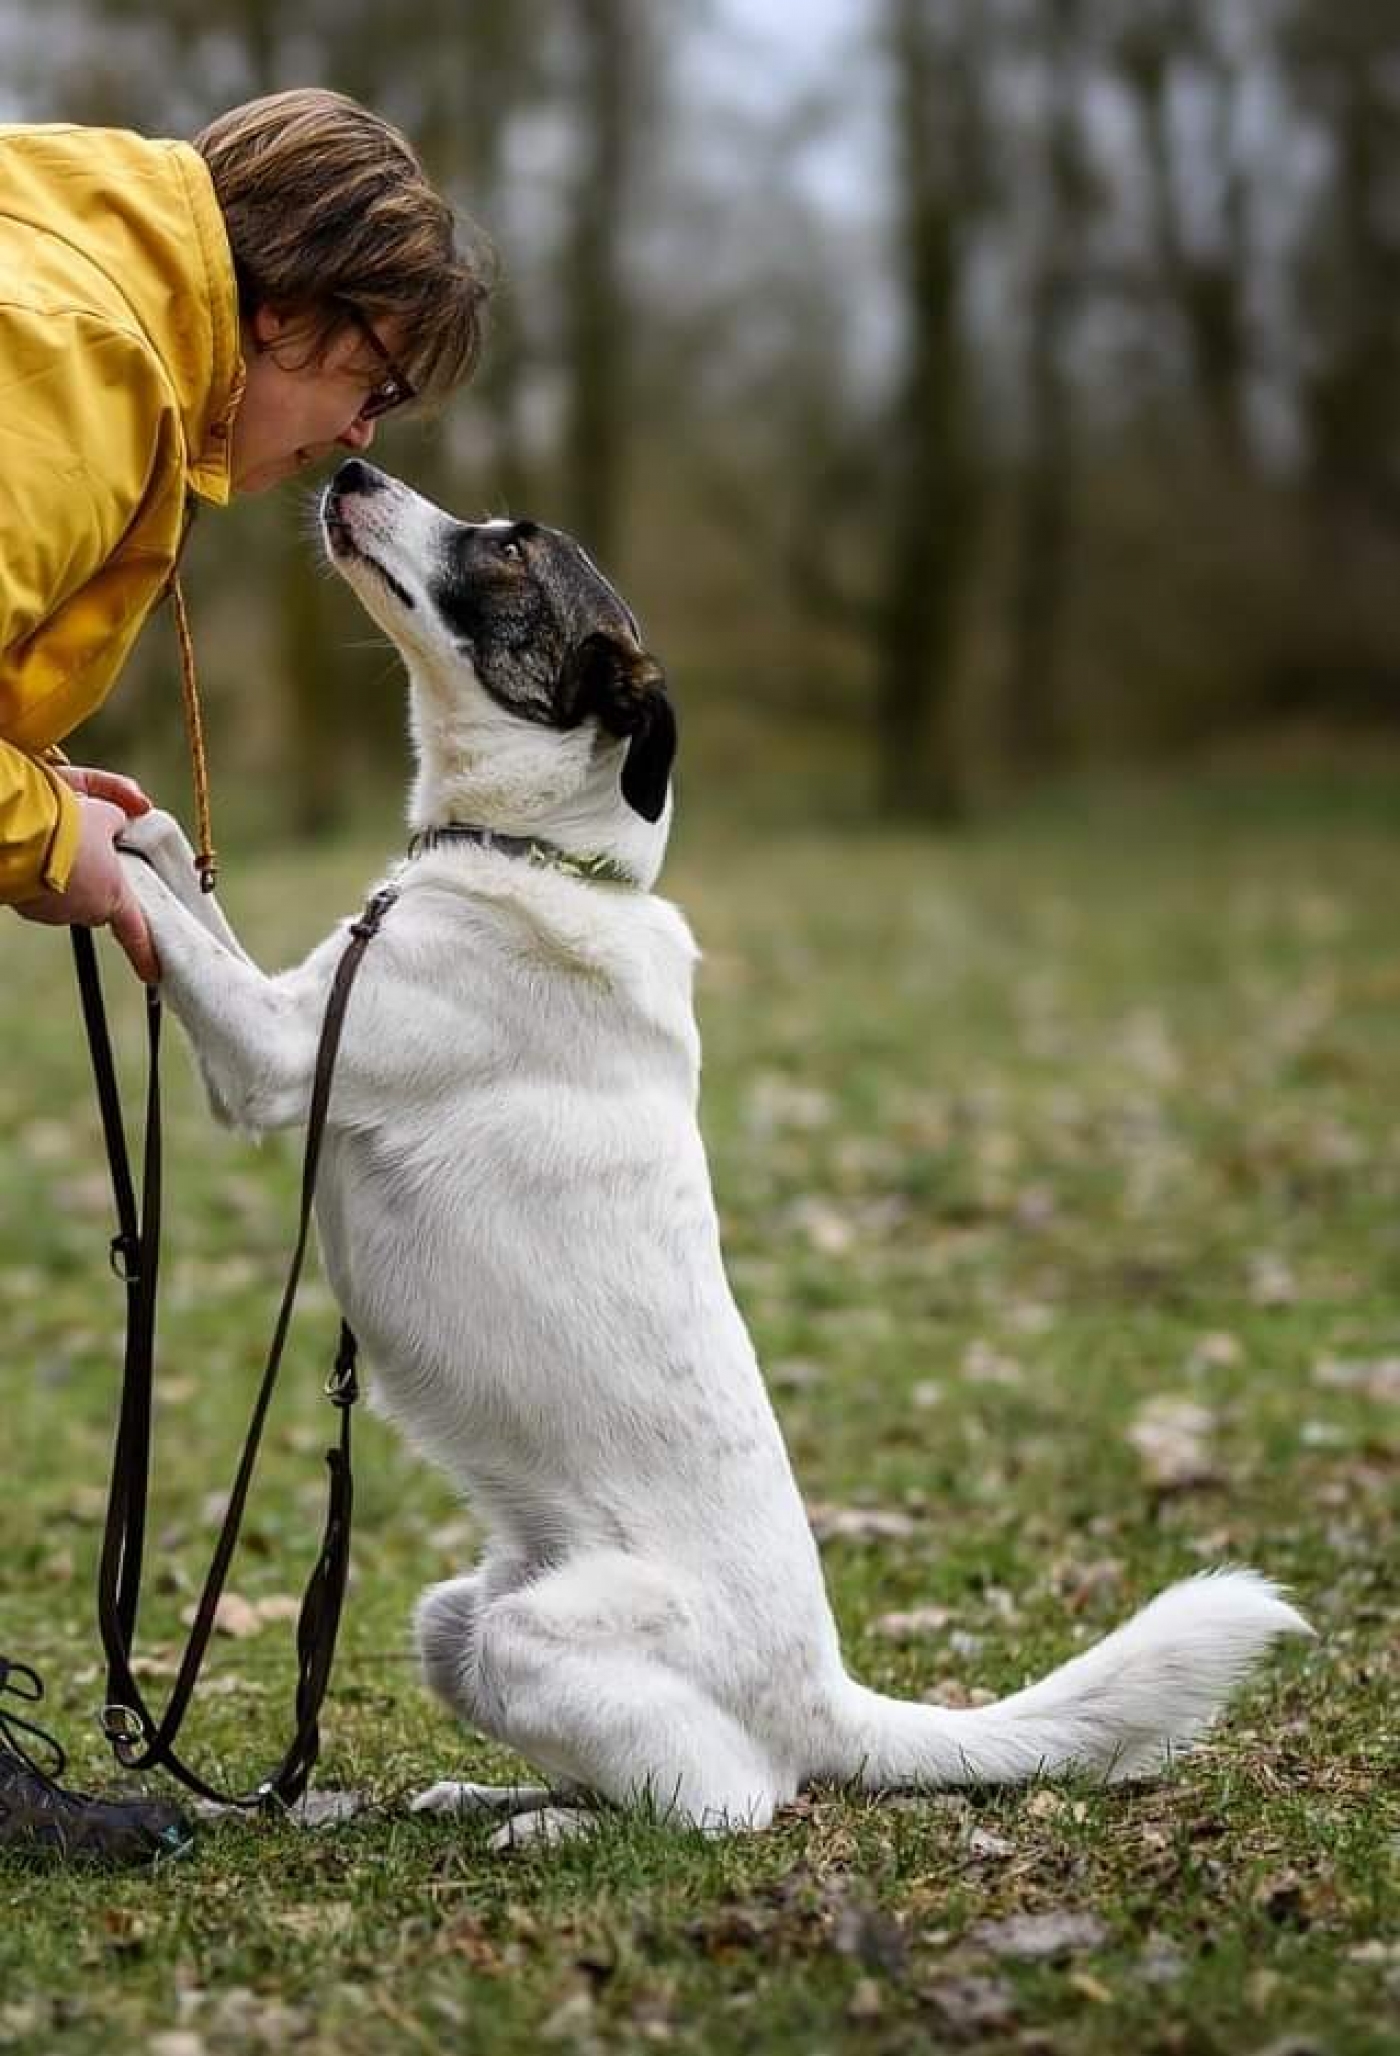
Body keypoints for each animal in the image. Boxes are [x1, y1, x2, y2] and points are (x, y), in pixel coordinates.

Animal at [118, 458, 1310, 1843]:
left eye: (512, 547)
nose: (353, 469)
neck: (541, 859)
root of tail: (827, 1695)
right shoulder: (273, 1023)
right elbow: (185, 887)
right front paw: (124, 814)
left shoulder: (270, 1057)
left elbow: (174, 933)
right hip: (453, 1618)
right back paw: (493, 1790)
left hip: (534, 1638)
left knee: (727, 1802)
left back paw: (552, 1826)